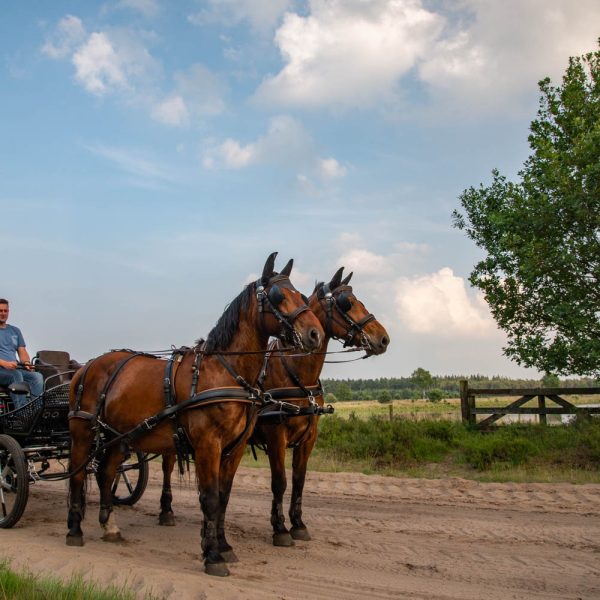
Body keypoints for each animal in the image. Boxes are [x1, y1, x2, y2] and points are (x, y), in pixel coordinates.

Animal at [65, 253, 324, 576]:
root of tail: (86, 366)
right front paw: (212, 556)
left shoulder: (235, 447)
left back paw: (109, 526)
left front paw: (224, 546)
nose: (315, 334)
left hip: (119, 437)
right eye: (278, 296)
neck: (225, 371)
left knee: (105, 472)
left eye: (301, 295)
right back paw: (74, 530)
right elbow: (210, 497)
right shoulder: (208, 444)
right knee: (77, 474)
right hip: (82, 431)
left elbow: (223, 497)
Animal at [252, 270, 390, 548]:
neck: (296, 375)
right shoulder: (275, 435)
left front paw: (297, 524)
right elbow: (279, 482)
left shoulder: (308, 438)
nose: (383, 339)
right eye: (347, 302)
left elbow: (299, 480)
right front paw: (280, 528)